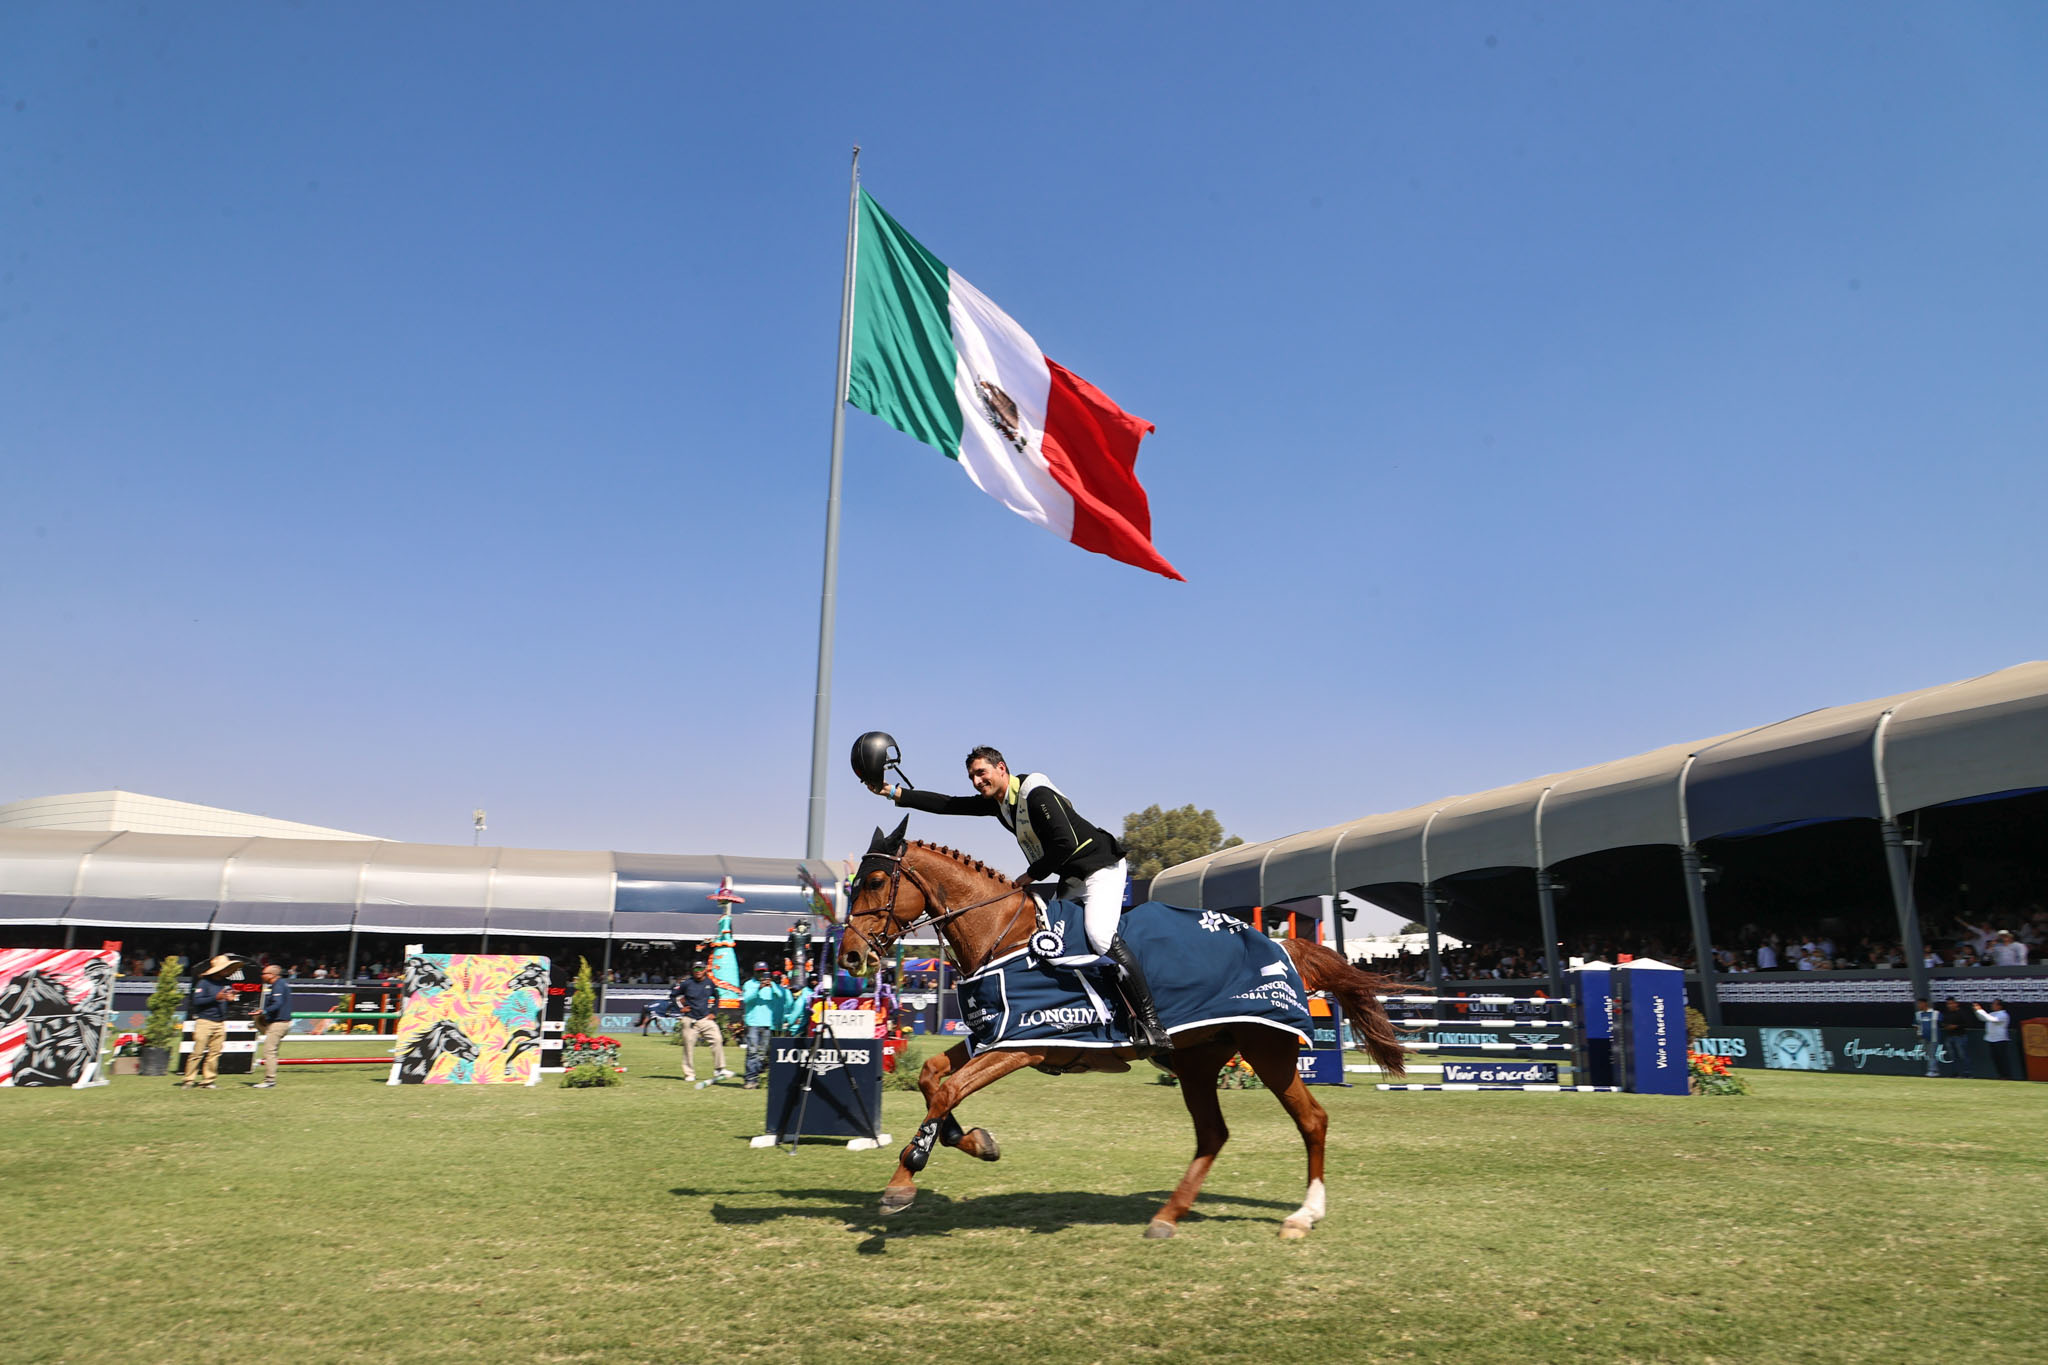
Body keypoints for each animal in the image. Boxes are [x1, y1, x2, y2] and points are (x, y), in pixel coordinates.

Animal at [835, 822, 1409, 1236]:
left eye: (877, 882)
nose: (851, 956)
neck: (1003, 933)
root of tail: (1282, 945)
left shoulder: (1023, 1045)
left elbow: (947, 1088)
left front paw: (904, 1179)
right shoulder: (994, 1034)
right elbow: (933, 1076)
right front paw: (973, 1140)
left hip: (1268, 1052)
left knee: (1312, 1121)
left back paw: (1304, 1215)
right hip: (1197, 1060)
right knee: (1213, 1133)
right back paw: (1166, 1218)